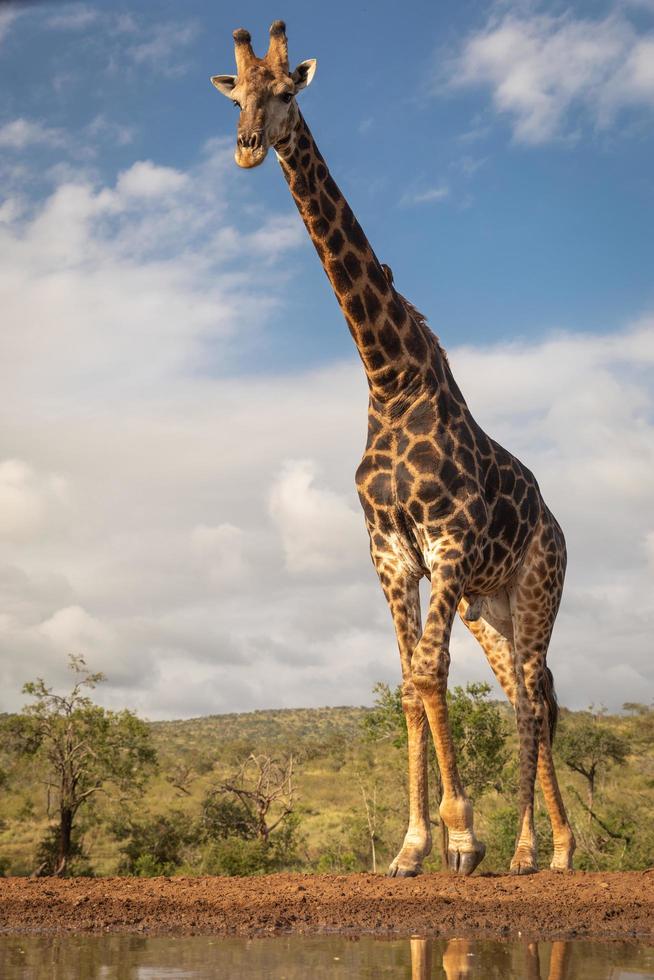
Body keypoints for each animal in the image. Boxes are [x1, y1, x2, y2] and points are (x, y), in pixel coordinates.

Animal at [213, 19, 576, 876]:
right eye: (237, 97)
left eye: (287, 92)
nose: (247, 147)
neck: (387, 377)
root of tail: (557, 526)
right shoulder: (389, 554)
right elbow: (409, 684)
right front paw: (413, 846)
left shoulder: (445, 543)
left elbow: (427, 673)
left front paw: (464, 839)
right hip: (492, 608)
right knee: (528, 693)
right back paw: (547, 847)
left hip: (539, 587)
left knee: (535, 699)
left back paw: (537, 850)